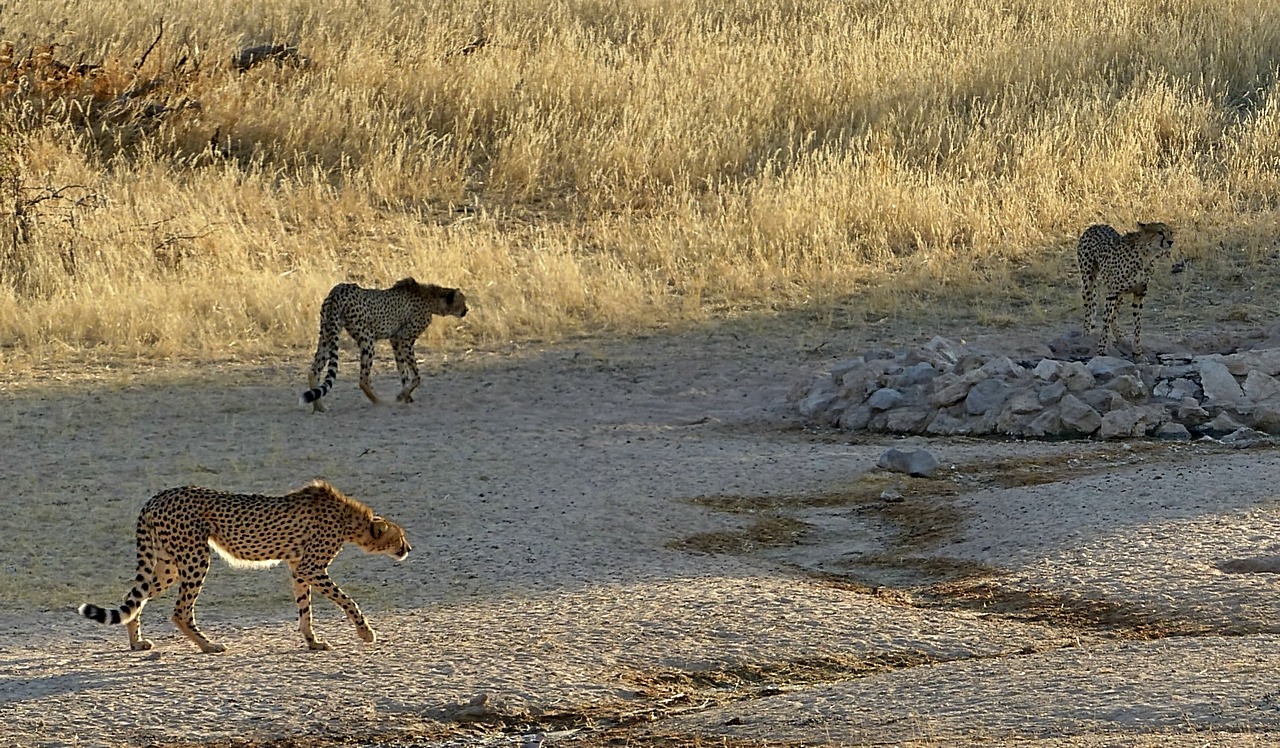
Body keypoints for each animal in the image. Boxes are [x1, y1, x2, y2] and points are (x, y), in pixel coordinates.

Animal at [298, 277, 465, 412]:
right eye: (462, 301)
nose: (466, 310)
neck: (430, 298)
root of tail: (339, 289)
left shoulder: (396, 340)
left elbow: (403, 372)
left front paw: (405, 396)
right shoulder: (404, 339)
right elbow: (416, 376)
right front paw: (402, 396)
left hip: (327, 334)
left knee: (313, 371)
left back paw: (319, 407)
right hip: (367, 340)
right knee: (363, 379)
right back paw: (380, 402)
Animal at [1075, 221, 1172, 358]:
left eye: (1171, 232)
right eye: (1160, 232)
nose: (1171, 242)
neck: (1146, 255)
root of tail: (1095, 225)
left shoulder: (1139, 294)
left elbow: (1137, 325)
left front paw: (1137, 352)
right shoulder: (1112, 293)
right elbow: (1105, 322)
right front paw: (1100, 350)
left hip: (1120, 295)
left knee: (1113, 316)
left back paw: (1120, 338)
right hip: (1088, 281)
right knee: (1089, 310)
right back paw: (1086, 335)